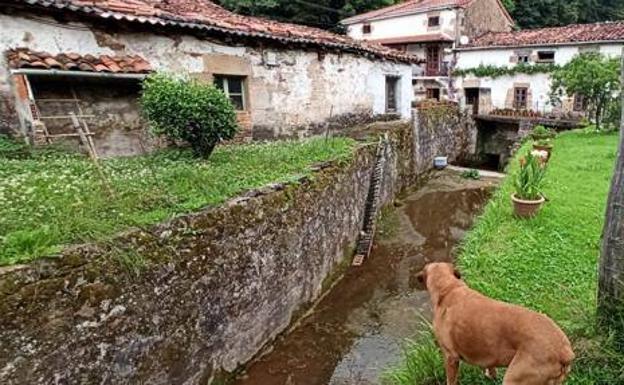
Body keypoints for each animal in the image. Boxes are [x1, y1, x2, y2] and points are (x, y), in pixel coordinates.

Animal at [416, 262, 572, 382]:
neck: (448, 288)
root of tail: (564, 352)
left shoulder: (450, 357)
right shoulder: (488, 351)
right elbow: (491, 365)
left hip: (514, 378)